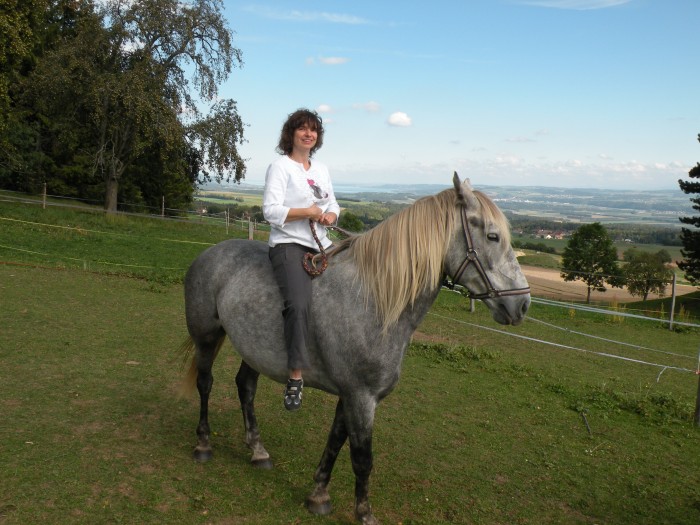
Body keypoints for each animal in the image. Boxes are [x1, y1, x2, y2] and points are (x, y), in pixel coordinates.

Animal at [180, 174, 532, 520]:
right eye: (493, 236)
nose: (523, 304)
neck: (374, 302)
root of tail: (209, 254)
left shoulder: (350, 395)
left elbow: (336, 441)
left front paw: (318, 495)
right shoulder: (361, 398)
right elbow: (362, 458)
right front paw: (364, 513)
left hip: (254, 351)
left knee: (246, 387)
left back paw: (257, 451)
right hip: (206, 338)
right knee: (205, 383)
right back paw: (203, 445)